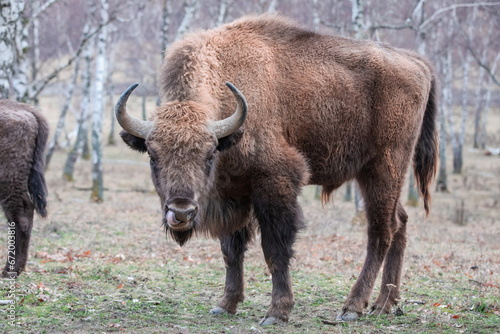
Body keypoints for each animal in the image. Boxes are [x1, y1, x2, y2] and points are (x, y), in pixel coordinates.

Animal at [117, 14, 438, 324]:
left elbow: (275, 250)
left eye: (208, 155)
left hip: (384, 167)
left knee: (381, 231)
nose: (181, 212)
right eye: (153, 156)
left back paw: (352, 307)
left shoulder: (275, 183)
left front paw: (276, 312)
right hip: (379, 176)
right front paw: (225, 305)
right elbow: (231, 250)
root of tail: (418, 62)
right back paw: (385, 304)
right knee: (400, 222)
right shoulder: (233, 192)